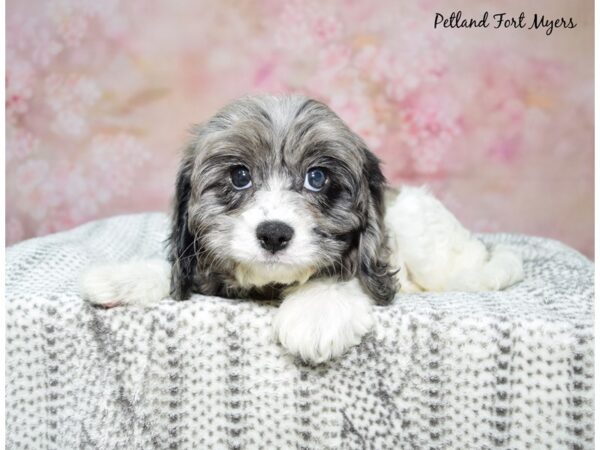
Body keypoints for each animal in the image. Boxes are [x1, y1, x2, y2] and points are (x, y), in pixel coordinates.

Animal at [82, 94, 524, 362]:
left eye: (317, 177)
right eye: (239, 176)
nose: (274, 234)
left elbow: (348, 272)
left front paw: (316, 311)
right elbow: (176, 270)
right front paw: (124, 278)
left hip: (426, 235)